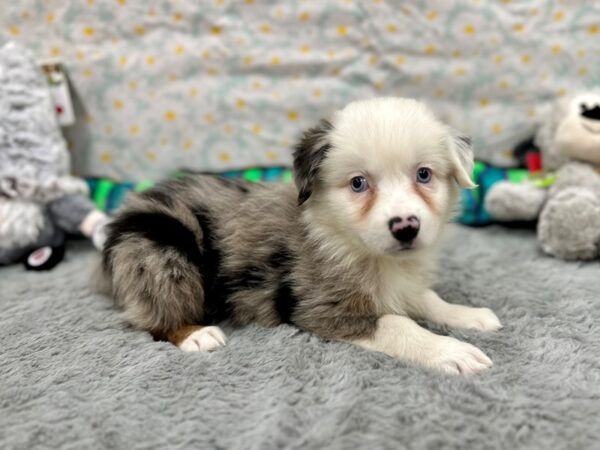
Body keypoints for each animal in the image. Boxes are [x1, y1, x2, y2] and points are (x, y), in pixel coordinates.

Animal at [98, 97, 502, 376]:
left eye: (423, 175)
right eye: (358, 183)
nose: (406, 227)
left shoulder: (402, 283)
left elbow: (427, 298)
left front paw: (469, 315)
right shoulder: (321, 307)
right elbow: (397, 323)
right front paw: (452, 352)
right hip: (160, 251)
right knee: (150, 316)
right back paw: (195, 334)